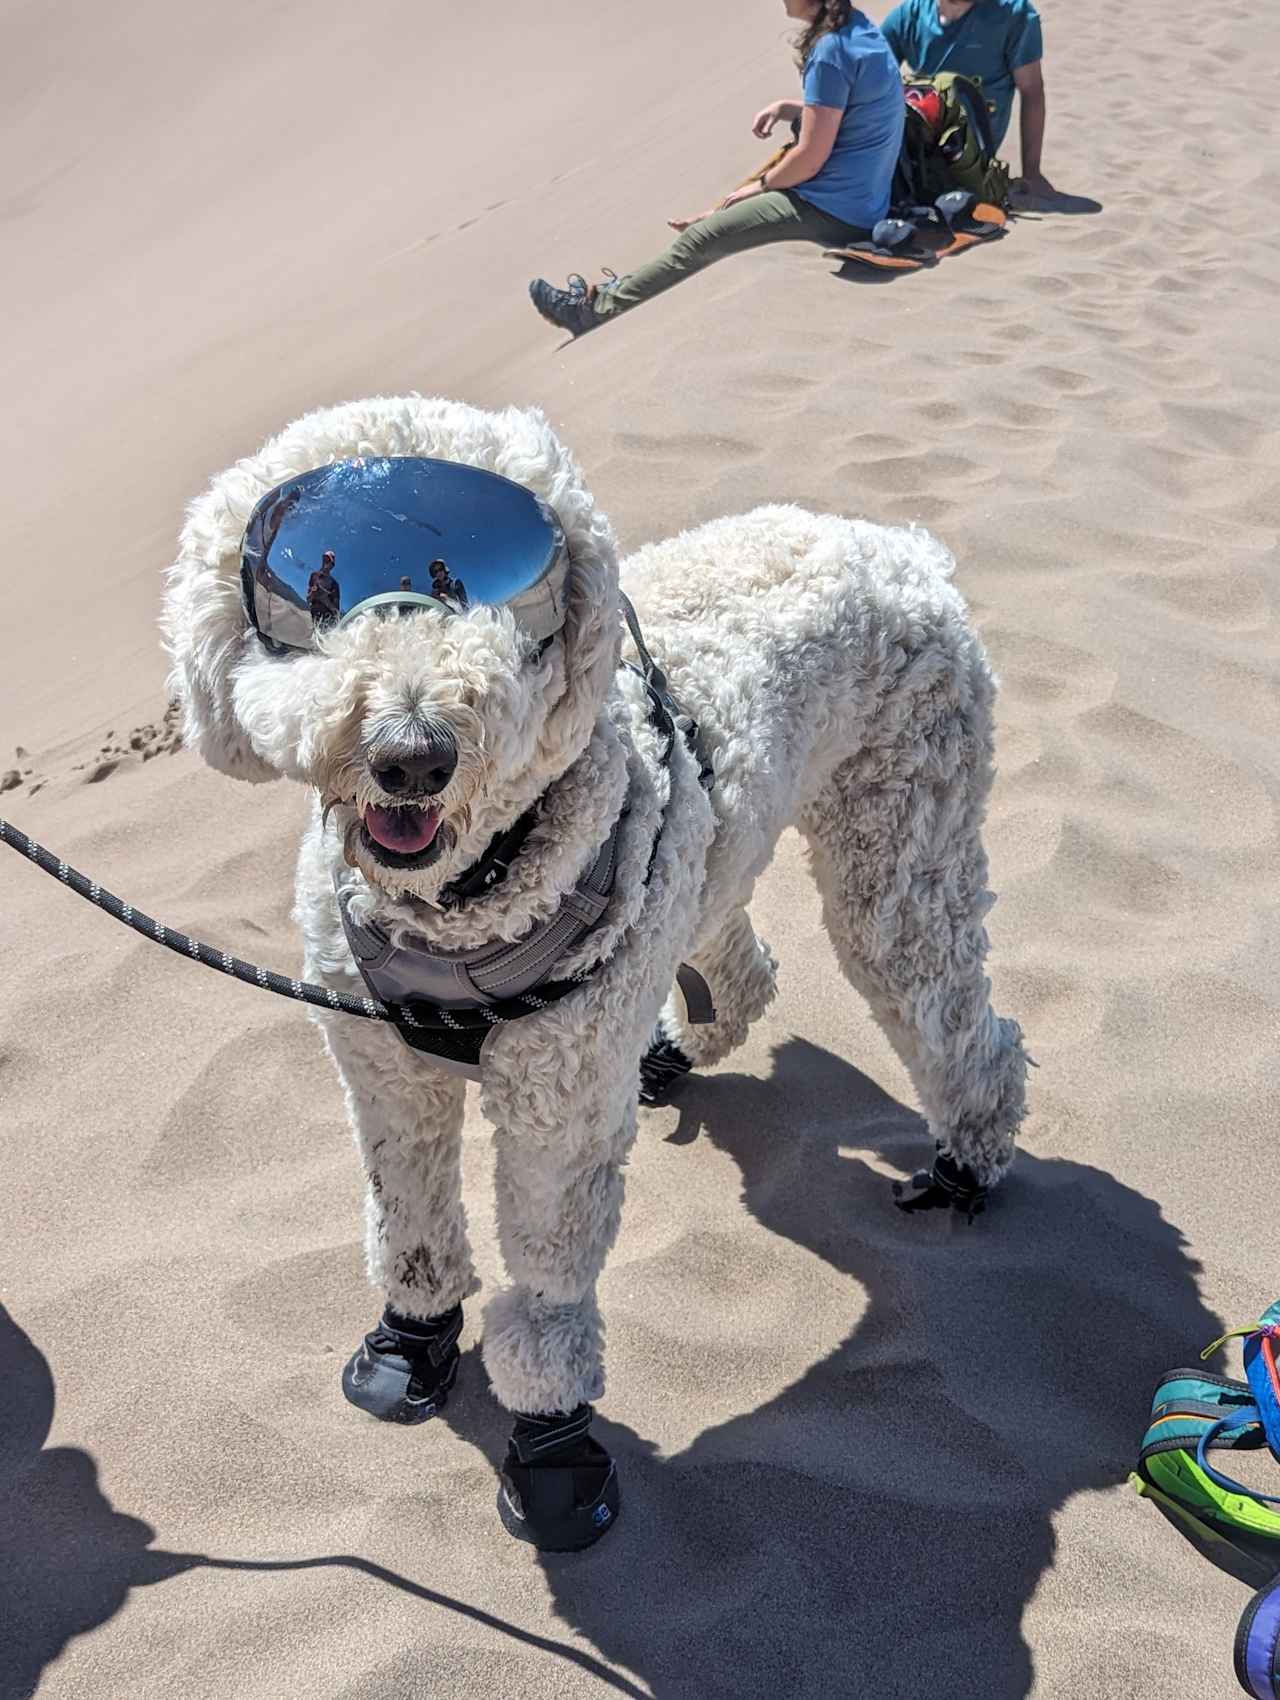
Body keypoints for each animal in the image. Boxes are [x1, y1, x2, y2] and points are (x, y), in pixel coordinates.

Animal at [162, 394, 1026, 1557]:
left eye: (488, 583)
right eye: (311, 592)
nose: (411, 753)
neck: (464, 894)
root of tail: (902, 547)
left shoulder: (556, 1111)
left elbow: (547, 1280)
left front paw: (551, 1445)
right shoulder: (383, 1072)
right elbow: (409, 1221)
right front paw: (410, 1340)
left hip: (897, 847)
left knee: (946, 1006)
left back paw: (968, 1157)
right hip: (707, 856)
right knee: (737, 956)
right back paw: (675, 1051)